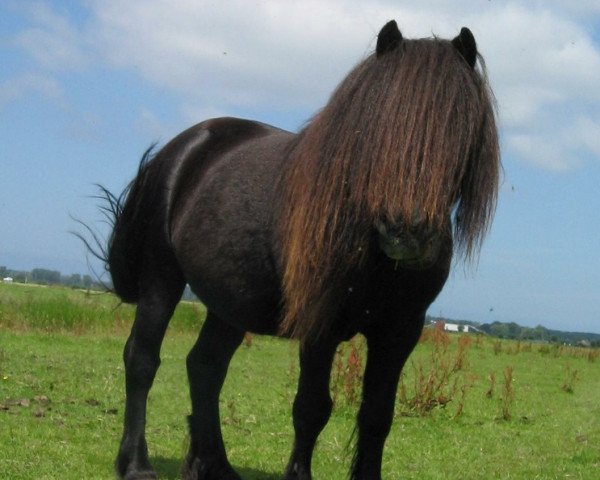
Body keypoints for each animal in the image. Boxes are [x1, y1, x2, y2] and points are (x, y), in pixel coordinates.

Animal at [101, 21, 500, 480]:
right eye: (373, 119)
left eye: (459, 126)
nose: (405, 231)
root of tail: (181, 148)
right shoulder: (320, 326)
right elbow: (311, 409)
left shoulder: (400, 331)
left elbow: (377, 415)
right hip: (161, 279)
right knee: (143, 359)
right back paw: (135, 463)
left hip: (229, 306)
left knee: (205, 367)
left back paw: (215, 465)